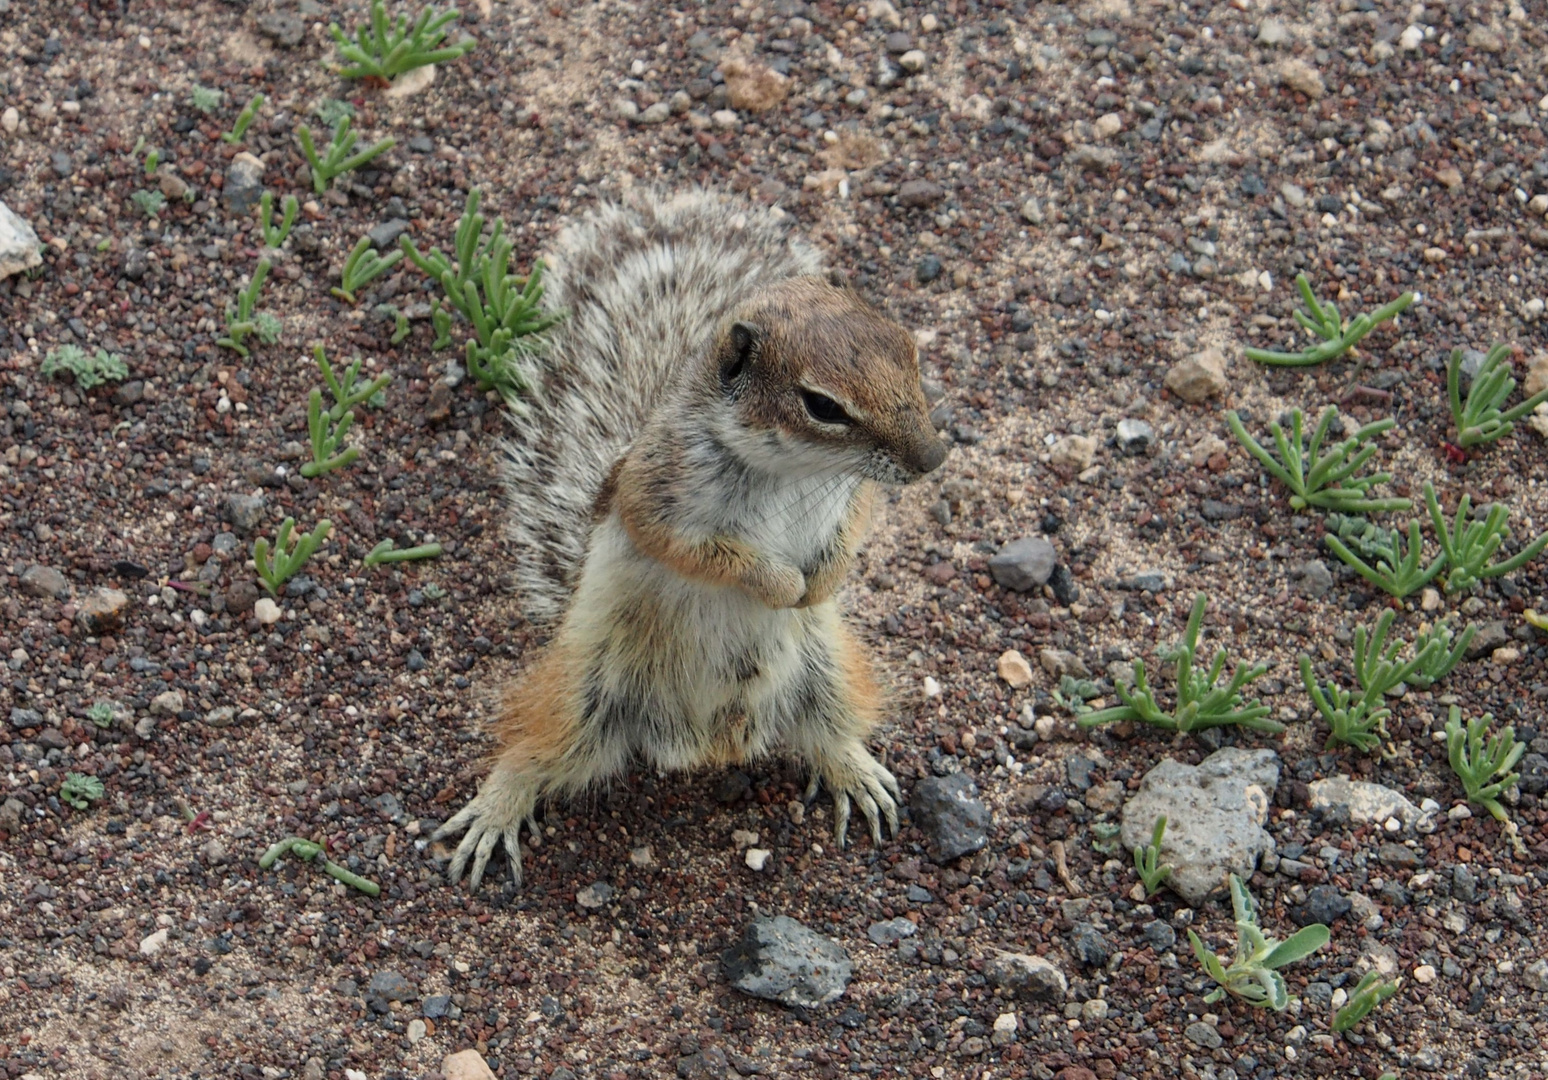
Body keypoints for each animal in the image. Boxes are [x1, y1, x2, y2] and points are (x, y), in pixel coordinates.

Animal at [436, 191, 941, 885]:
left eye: (910, 349)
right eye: (823, 405)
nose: (933, 459)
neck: (793, 472)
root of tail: (708, 744)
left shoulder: (853, 494)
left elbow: (853, 532)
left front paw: (823, 582)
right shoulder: (658, 492)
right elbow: (699, 552)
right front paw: (781, 584)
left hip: (826, 670)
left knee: (827, 730)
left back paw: (856, 771)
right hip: (582, 693)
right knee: (536, 749)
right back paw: (495, 808)